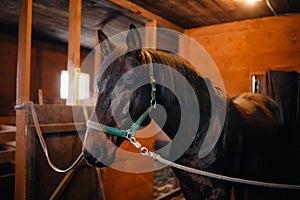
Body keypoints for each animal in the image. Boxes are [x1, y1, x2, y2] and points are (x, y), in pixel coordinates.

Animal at [83, 24, 296, 199]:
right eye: (98, 83)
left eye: (128, 84)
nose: (91, 152)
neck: (201, 131)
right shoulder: (189, 188)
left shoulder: (220, 190)